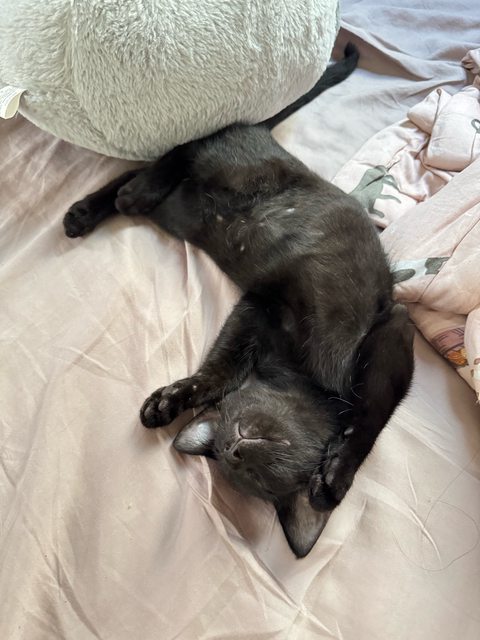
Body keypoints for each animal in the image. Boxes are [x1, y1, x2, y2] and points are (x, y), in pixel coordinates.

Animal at [63, 44, 415, 556]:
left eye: (255, 471)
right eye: (241, 438)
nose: (235, 445)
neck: (299, 376)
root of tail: (263, 129)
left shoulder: (259, 310)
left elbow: (221, 376)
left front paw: (169, 403)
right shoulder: (383, 324)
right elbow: (370, 414)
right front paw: (336, 478)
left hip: (182, 208)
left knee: (155, 167)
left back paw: (89, 211)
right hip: (237, 168)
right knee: (184, 147)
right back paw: (129, 194)